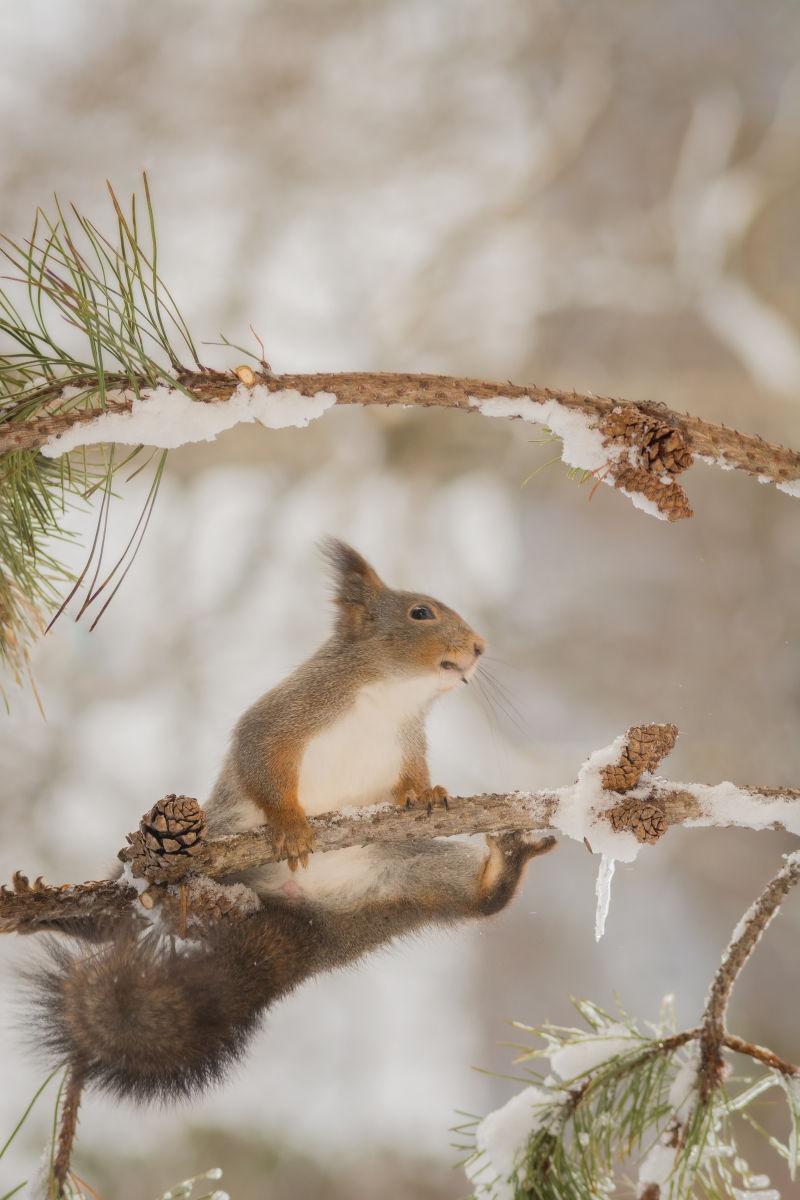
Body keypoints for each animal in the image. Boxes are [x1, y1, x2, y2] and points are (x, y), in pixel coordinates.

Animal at [32, 544, 556, 1104]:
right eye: (421, 613)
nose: (479, 646)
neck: (388, 698)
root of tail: (309, 928)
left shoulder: (409, 745)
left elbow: (410, 782)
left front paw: (430, 793)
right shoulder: (284, 716)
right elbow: (260, 760)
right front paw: (288, 824)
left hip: (406, 881)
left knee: (478, 901)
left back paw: (505, 862)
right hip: (177, 861)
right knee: (112, 921)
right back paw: (66, 911)